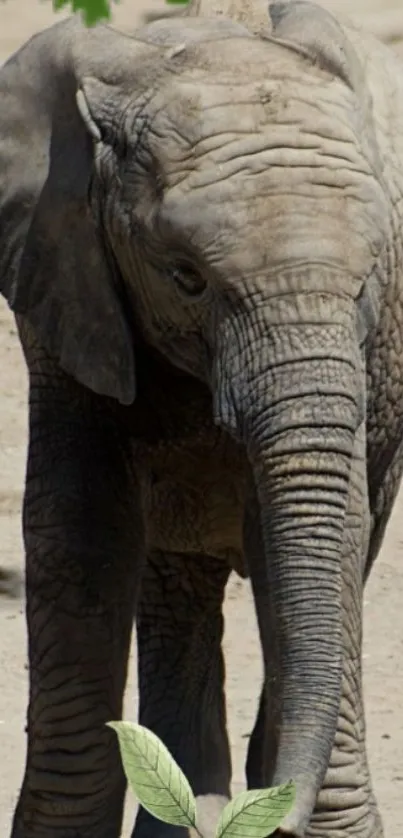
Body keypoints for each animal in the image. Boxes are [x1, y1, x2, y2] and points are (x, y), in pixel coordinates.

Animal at [0, 0, 403, 836]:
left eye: (368, 281)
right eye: (185, 277)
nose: (280, 815)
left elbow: (316, 535)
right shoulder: (62, 283)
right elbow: (78, 526)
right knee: (173, 577)